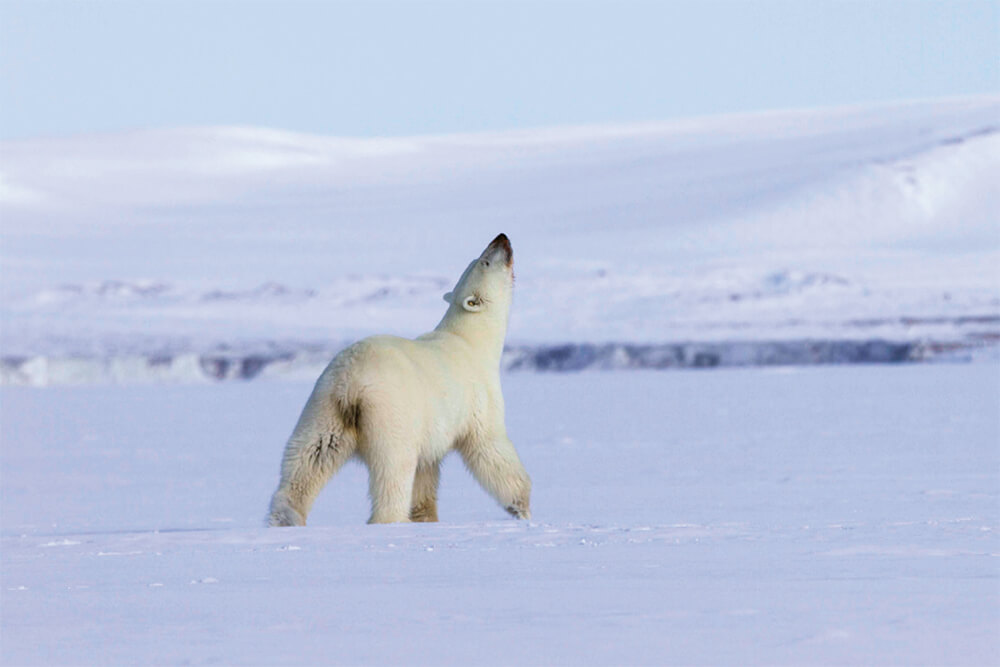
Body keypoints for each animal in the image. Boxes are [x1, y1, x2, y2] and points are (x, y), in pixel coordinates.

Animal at [268, 233, 532, 525]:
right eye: (484, 260)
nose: (501, 238)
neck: (471, 340)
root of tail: (351, 383)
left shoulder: (431, 432)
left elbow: (425, 473)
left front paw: (426, 517)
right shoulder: (479, 397)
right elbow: (491, 448)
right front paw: (522, 509)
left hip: (325, 405)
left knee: (311, 456)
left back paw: (286, 516)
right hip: (391, 412)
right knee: (394, 469)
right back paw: (390, 518)